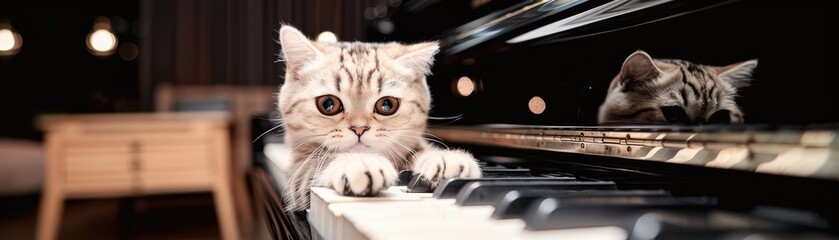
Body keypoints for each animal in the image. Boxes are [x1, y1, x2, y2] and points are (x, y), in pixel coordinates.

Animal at [278, 24, 486, 212]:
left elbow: (419, 150)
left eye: (387, 105)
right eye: (328, 104)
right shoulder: (298, 173)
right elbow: (323, 161)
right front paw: (359, 163)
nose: (359, 128)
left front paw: (445, 158)